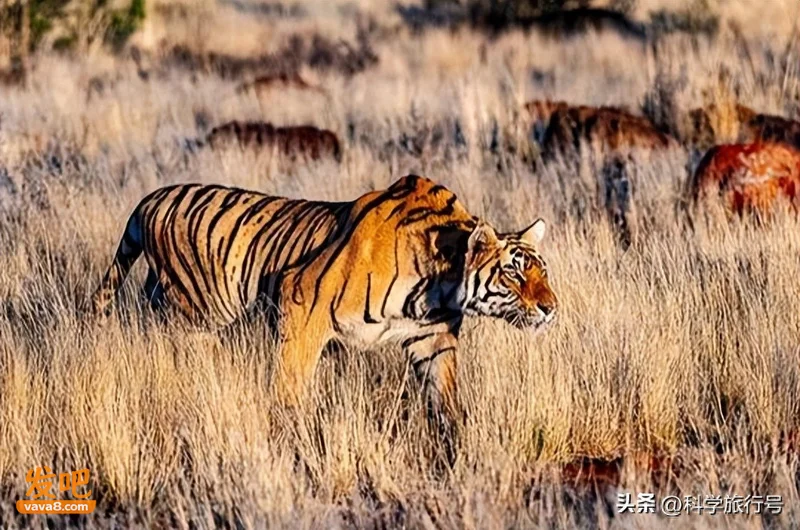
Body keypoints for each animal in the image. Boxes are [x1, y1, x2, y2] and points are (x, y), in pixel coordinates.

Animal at [91, 175, 558, 451]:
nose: (551, 308)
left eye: (543, 271)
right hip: (195, 310)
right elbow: (290, 382)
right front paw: (287, 435)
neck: (440, 285)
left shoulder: (433, 337)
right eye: (515, 273)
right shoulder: (302, 300)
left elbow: (445, 397)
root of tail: (152, 197)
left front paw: (455, 443)